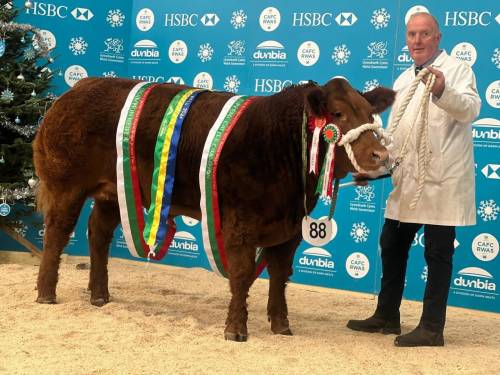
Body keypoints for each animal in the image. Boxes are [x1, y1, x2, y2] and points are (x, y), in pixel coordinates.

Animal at [34, 78, 394, 342]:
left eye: (369, 115)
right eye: (337, 114)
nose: (380, 155)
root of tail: (76, 89)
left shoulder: (289, 231)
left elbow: (279, 276)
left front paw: (281, 325)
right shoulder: (240, 224)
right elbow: (241, 274)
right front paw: (236, 329)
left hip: (115, 191)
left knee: (98, 232)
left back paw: (99, 295)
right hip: (66, 184)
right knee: (57, 233)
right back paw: (46, 293)